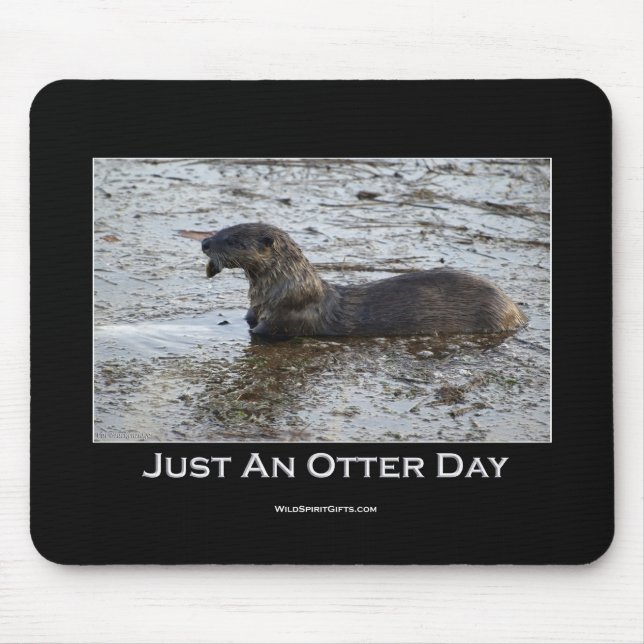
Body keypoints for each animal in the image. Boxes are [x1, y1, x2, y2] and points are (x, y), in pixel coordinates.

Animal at [201, 223, 527, 338]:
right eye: (221, 229)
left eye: (232, 240)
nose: (204, 242)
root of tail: (516, 311)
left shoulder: (287, 317)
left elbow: (263, 332)